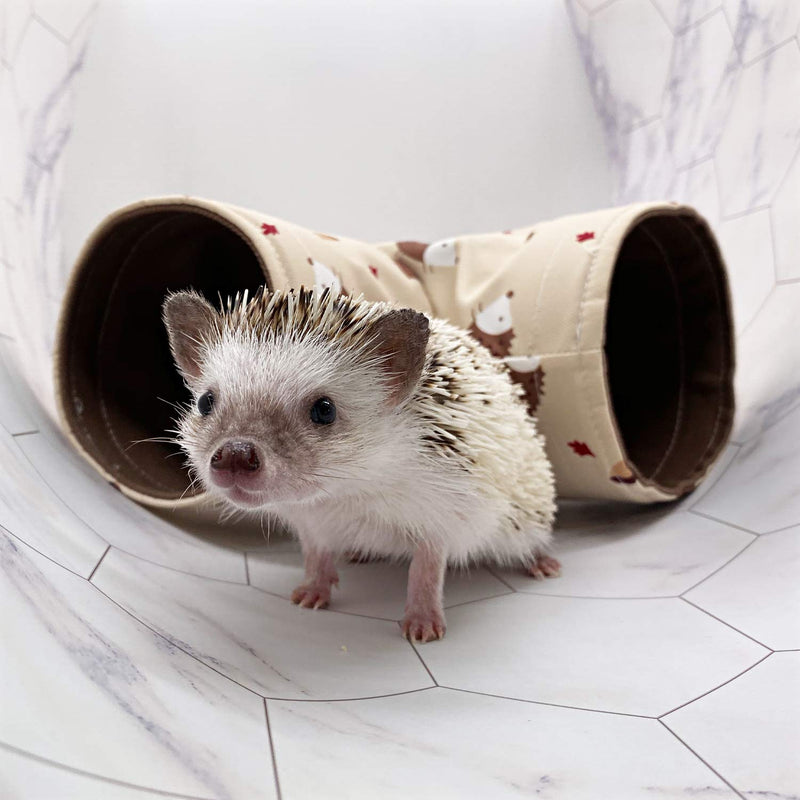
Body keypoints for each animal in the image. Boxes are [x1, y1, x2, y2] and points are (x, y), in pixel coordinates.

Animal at [162, 287, 559, 642]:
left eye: (324, 409)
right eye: (205, 402)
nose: (235, 454)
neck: (349, 492)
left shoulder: (445, 503)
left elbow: (428, 566)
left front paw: (423, 622)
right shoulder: (310, 520)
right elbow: (315, 552)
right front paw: (311, 590)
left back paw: (541, 562)